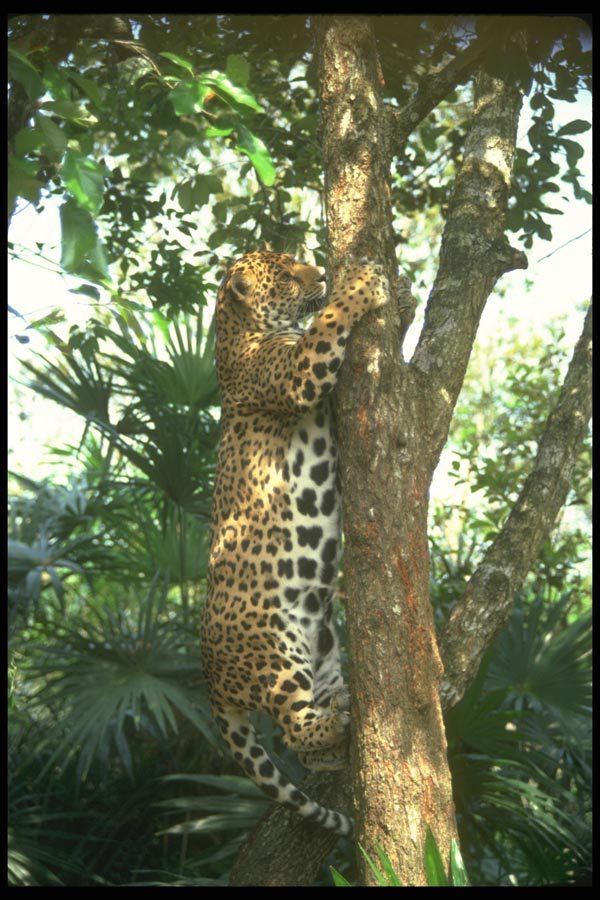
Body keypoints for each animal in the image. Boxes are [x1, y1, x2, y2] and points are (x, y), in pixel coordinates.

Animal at [200, 248, 389, 837]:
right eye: (285, 275)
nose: (321, 273)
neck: (237, 335)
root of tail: (208, 677)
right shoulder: (298, 375)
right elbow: (327, 322)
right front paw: (359, 283)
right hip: (275, 653)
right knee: (291, 728)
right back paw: (337, 726)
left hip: (320, 652)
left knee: (306, 745)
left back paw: (342, 719)